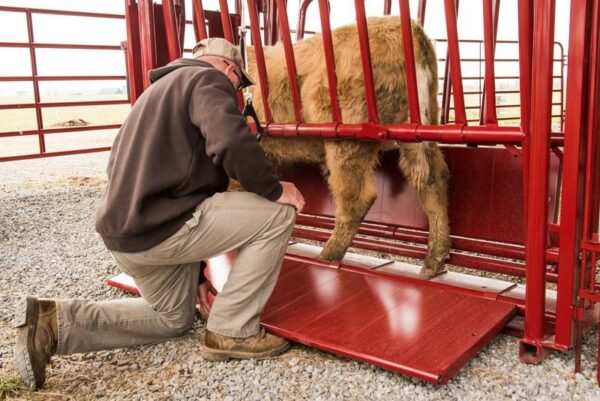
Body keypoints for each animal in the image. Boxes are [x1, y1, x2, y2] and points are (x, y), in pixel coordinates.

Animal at [245, 15, 450, 276]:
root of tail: (408, 27)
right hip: (419, 131)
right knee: (432, 181)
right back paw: (434, 261)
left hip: (348, 141)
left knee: (357, 199)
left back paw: (327, 257)